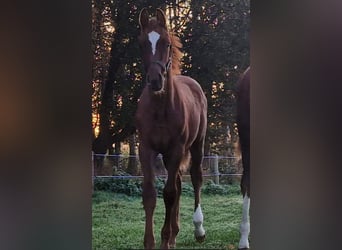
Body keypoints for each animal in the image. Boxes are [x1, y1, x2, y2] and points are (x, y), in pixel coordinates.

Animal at [135, 8, 207, 250]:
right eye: (142, 43)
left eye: (166, 43)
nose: (155, 81)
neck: (160, 109)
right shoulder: (146, 149)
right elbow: (150, 193)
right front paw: (151, 242)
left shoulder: (176, 149)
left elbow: (169, 193)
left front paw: (164, 240)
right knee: (177, 182)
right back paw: (175, 234)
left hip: (196, 146)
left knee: (195, 179)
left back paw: (198, 230)